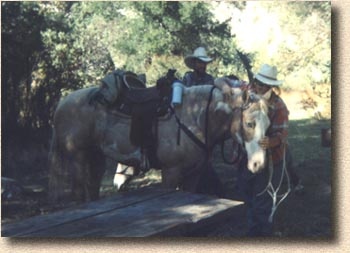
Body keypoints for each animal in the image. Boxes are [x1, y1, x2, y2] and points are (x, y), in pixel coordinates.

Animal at [47, 79, 270, 204]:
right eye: (249, 123)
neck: (195, 118)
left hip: (97, 158)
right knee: (78, 192)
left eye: (268, 124)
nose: (258, 165)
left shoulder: (194, 173)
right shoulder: (170, 172)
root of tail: (62, 104)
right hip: (78, 158)